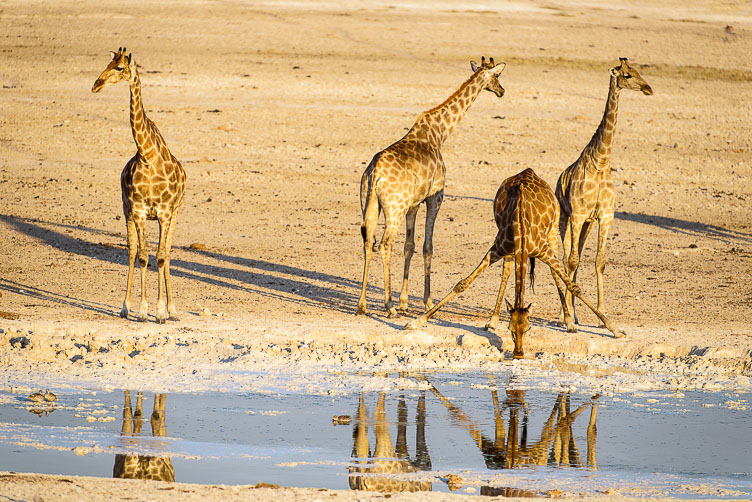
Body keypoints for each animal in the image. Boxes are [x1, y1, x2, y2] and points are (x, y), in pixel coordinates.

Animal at [92, 48, 186, 324]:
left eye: (119, 68)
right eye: (108, 63)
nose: (96, 84)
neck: (147, 155)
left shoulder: (165, 213)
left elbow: (161, 257)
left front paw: (162, 312)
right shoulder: (139, 211)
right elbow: (143, 256)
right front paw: (144, 311)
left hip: (176, 213)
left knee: (168, 253)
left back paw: (173, 310)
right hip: (126, 212)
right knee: (132, 252)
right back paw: (125, 307)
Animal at [358, 57, 506, 318]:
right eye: (497, 76)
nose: (502, 91)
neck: (440, 133)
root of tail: (374, 174)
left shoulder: (414, 204)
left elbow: (410, 245)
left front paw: (404, 302)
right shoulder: (436, 197)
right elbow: (428, 246)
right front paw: (426, 303)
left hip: (371, 204)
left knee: (368, 243)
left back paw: (362, 305)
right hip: (394, 209)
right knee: (384, 245)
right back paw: (388, 306)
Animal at [405, 168, 624, 358]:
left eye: (528, 328)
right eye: (510, 328)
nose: (518, 353)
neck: (522, 227)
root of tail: (529, 170)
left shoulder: (543, 250)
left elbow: (574, 286)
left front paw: (614, 329)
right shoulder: (498, 247)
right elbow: (462, 283)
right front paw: (416, 322)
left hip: (553, 231)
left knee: (555, 273)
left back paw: (569, 322)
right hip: (511, 248)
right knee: (508, 269)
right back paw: (492, 320)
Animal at [556, 58, 652, 328]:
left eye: (639, 71)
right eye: (627, 75)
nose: (648, 88)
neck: (600, 162)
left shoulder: (606, 216)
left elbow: (599, 261)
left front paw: (602, 315)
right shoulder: (577, 214)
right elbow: (571, 260)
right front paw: (568, 319)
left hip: (587, 223)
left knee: (576, 259)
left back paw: (575, 314)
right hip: (565, 218)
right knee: (567, 258)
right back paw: (564, 316)